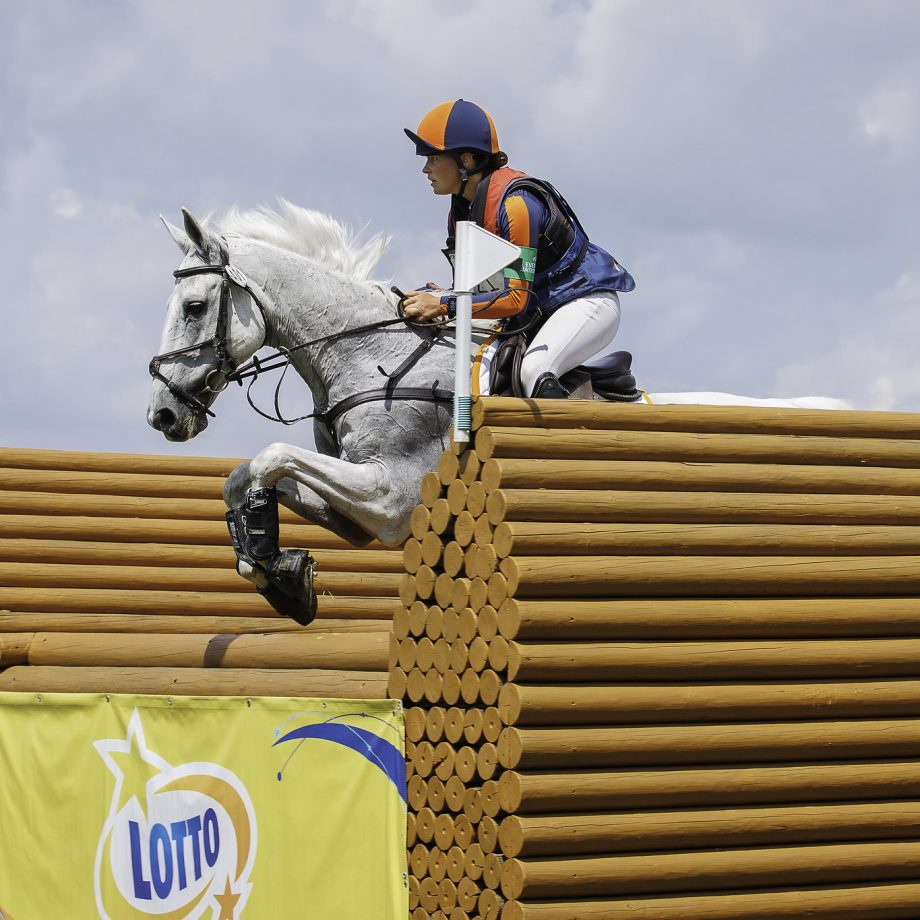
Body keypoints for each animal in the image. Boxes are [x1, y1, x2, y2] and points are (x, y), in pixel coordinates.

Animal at [147, 199, 844, 620]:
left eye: (194, 308)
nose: (162, 416)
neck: (372, 354)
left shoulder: (392, 497)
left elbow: (269, 456)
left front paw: (278, 568)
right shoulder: (362, 513)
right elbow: (249, 475)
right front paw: (278, 571)